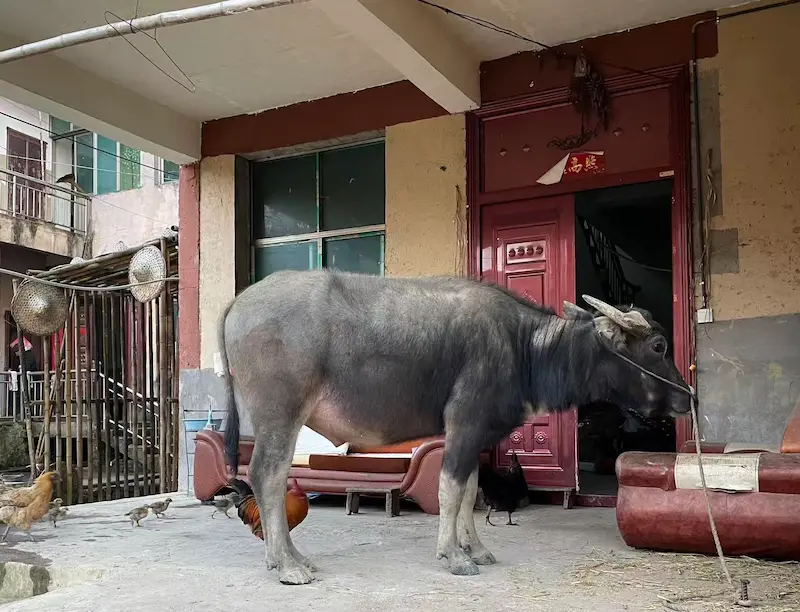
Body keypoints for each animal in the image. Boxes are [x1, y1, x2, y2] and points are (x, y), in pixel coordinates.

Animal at [219, 269, 690, 584]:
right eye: (658, 345)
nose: (687, 397)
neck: (523, 346)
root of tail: (238, 302)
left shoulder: (475, 435)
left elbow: (470, 490)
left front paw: (476, 548)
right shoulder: (465, 423)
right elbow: (450, 488)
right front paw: (454, 555)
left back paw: (292, 557)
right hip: (280, 413)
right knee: (267, 475)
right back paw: (286, 564)